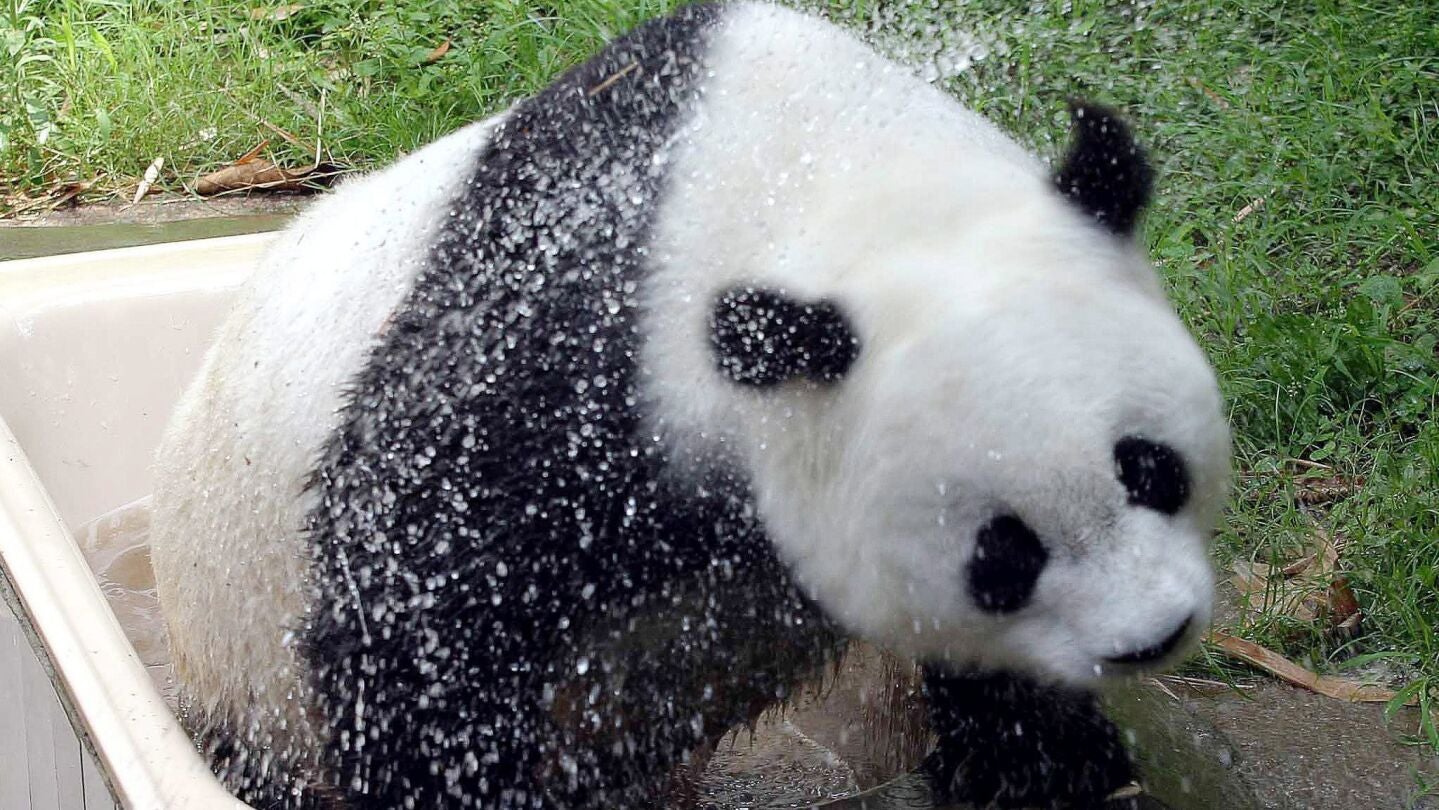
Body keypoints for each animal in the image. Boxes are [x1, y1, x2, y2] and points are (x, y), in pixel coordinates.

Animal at [149, 3, 1230, 809]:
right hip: (234, 654)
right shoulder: (571, 342)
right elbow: (420, 591)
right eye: (1000, 554)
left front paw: (1047, 760)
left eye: (1152, 470)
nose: (1152, 635)